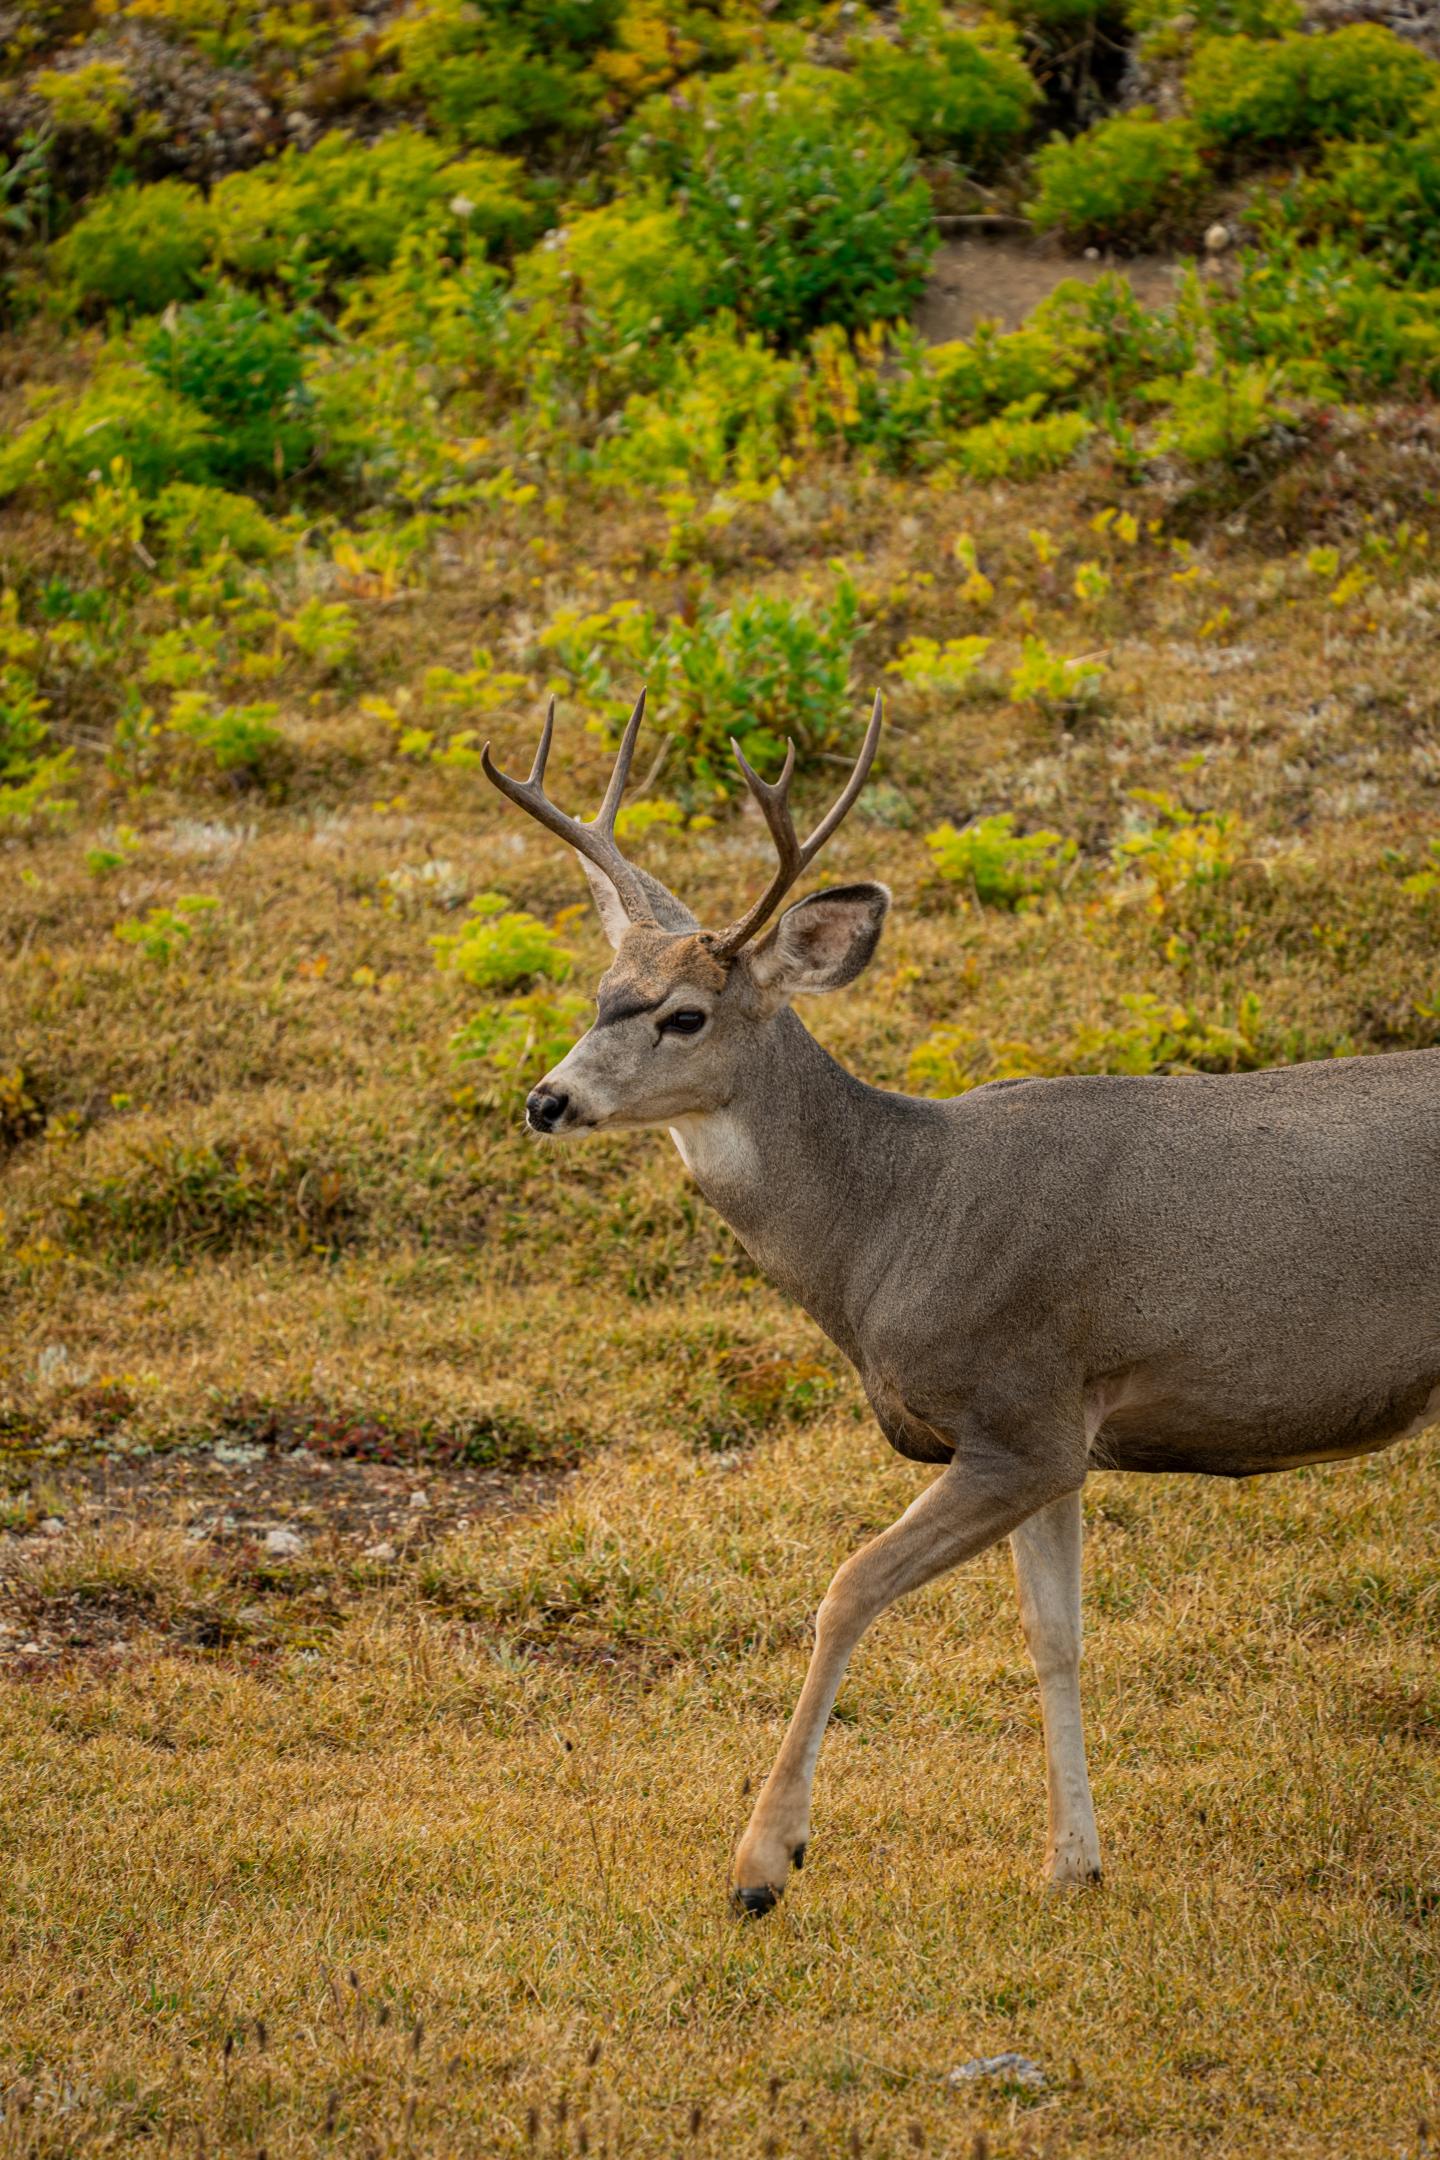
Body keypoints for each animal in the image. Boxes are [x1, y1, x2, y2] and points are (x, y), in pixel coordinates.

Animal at [482, 687, 1440, 1918]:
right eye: (601, 997)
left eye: (684, 1016)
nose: (547, 1101)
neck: (892, 1226)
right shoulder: (1062, 1433)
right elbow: (1054, 1635)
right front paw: (1074, 1862)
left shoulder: (1017, 1413)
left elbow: (848, 1587)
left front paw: (764, 1862)